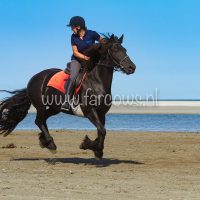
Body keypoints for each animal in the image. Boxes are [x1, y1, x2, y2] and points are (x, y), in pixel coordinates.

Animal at [0, 34, 136, 159]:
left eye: (125, 49)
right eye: (115, 49)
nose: (132, 67)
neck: (97, 82)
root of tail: (33, 78)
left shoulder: (101, 113)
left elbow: (101, 131)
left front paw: (94, 148)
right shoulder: (89, 111)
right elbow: (102, 131)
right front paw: (90, 147)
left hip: (55, 108)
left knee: (43, 120)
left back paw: (44, 141)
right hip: (41, 106)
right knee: (38, 121)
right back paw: (51, 144)